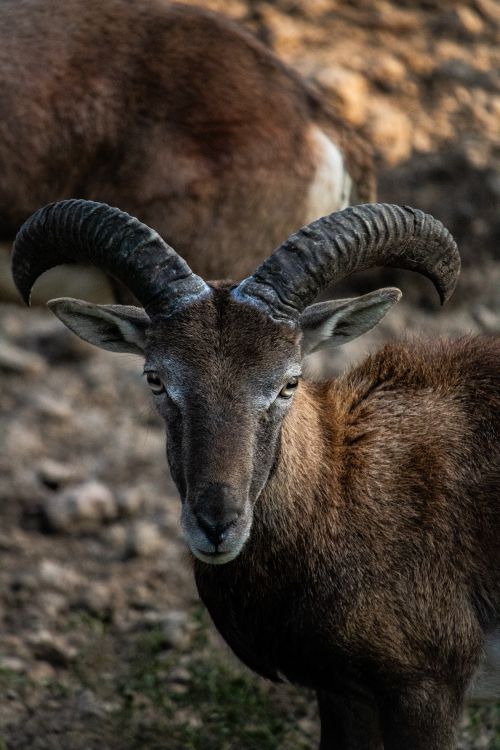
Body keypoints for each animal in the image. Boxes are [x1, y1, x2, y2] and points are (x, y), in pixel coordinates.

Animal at [12, 199, 499, 749]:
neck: (346, 484)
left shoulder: (428, 687)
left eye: (290, 381)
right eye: (156, 378)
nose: (216, 523)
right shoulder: (344, 694)